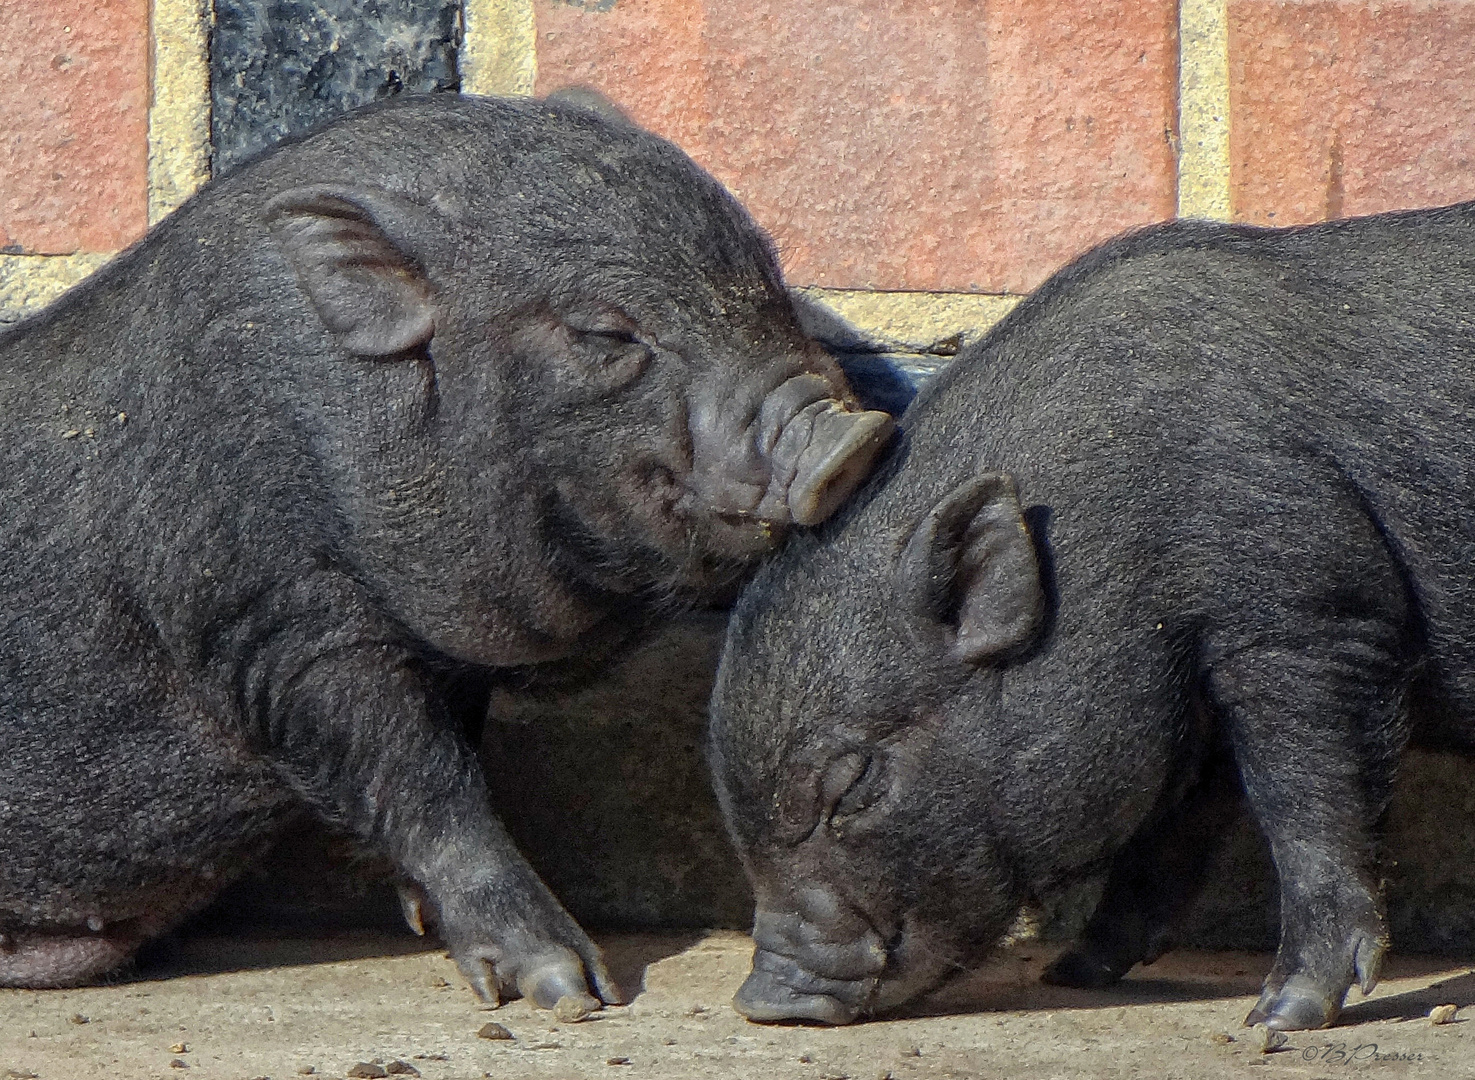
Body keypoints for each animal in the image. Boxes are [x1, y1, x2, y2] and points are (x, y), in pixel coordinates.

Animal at [0, 92, 890, 1015]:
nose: (852, 437)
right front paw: (569, 994)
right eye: (604, 333)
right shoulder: (272, 622)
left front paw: (431, 924)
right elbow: (421, 779)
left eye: (768, 278)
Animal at [705, 200, 1475, 1026]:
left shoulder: (1315, 613)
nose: (762, 1001)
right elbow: (1169, 833)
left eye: (850, 783)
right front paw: (1072, 972)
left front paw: (1277, 1018)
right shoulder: (1193, 696)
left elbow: (1306, 804)